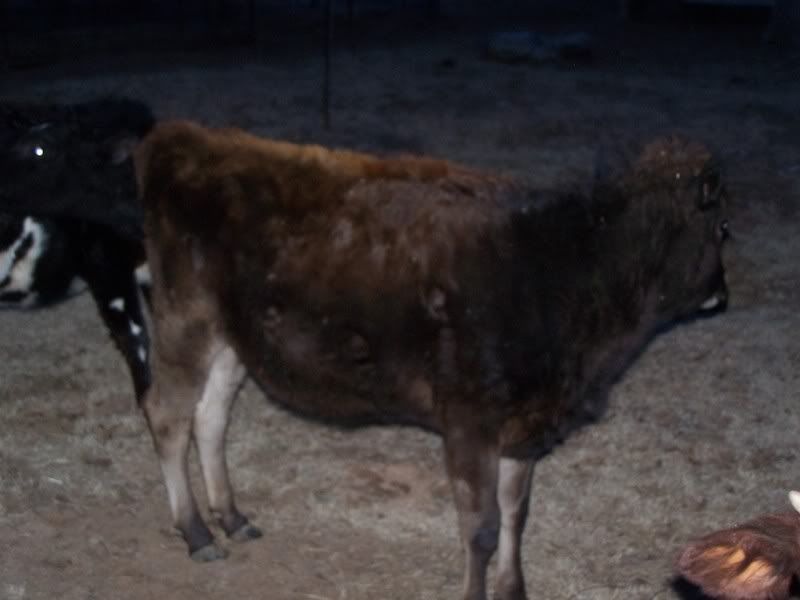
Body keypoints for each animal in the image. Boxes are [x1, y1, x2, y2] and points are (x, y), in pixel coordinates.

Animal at [134, 121, 730, 600]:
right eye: (722, 228)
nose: (723, 294)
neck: (562, 268)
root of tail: (181, 137)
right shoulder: (470, 420)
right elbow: (482, 526)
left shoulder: (523, 425)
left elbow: (516, 513)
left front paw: (514, 589)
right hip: (184, 316)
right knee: (166, 416)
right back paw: (196, 532)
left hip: (232, 337)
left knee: (210, 417)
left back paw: (231, 517)